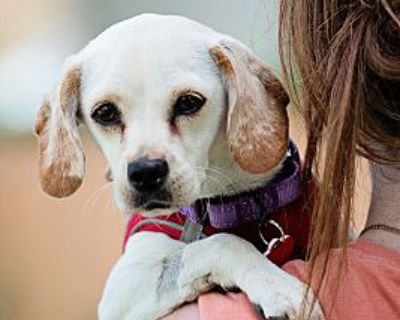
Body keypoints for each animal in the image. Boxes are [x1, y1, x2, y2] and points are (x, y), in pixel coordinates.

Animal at [33, 13, 322, 318]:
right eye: (105, 112)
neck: (233, 206)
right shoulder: (123, 287)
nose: (145, 173)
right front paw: (280, 288)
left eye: (188, 102)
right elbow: (222, 242)